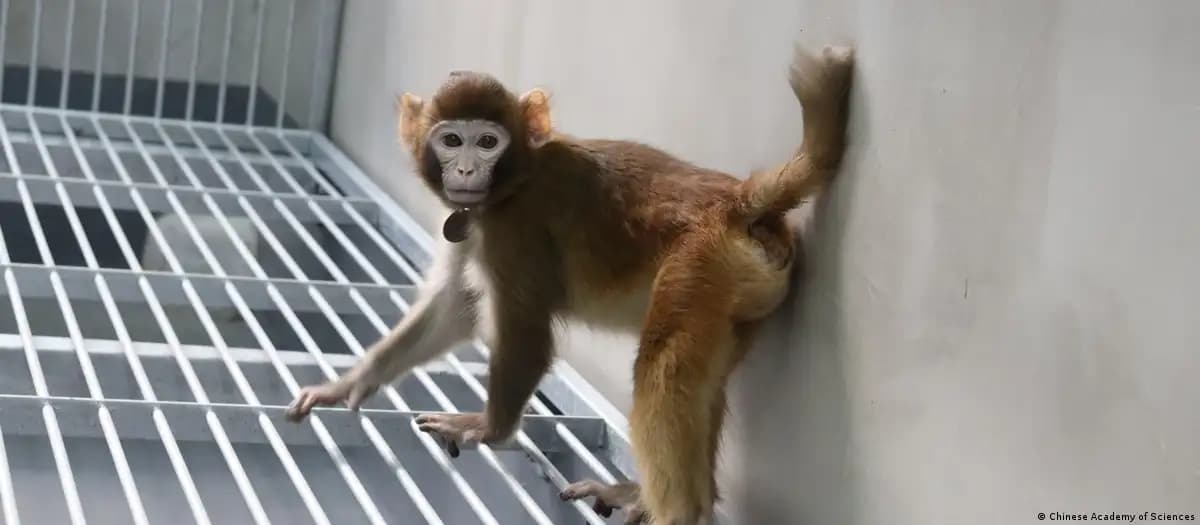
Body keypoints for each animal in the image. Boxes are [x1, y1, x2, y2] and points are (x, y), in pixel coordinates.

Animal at [284, 43, 855, 524]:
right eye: (451, 140)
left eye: (487, 141)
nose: (465, 170)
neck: (516, 179)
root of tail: (738, 203)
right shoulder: (474, 224)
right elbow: (454, 307)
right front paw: (351, 383)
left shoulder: (516, 230)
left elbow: (527, 334)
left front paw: (491, 429)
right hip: (738, 291)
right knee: (700, 379)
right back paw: (648, 496)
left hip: (700, 264)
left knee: (663, 368)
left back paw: (678, 511)